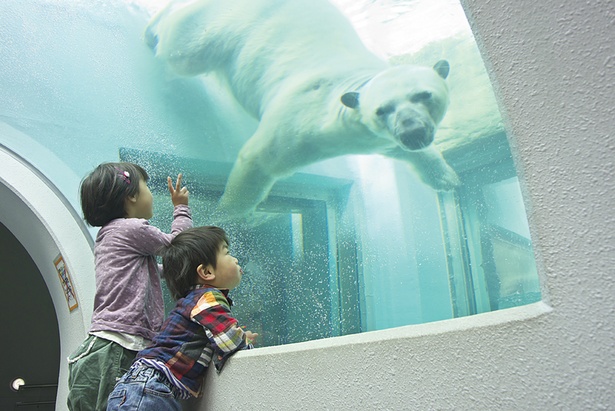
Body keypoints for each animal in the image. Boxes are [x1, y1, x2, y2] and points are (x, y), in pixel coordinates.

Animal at [147, 0, 460, 220]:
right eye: (381, 110)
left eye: (424, 95)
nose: (413, 132)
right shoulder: (304, 118)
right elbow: (261, 159)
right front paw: (227, 212)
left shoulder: (377, 140)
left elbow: (406, 152)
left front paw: (446, 178)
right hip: (228, 23)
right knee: (185, 46)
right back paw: (153, 25)